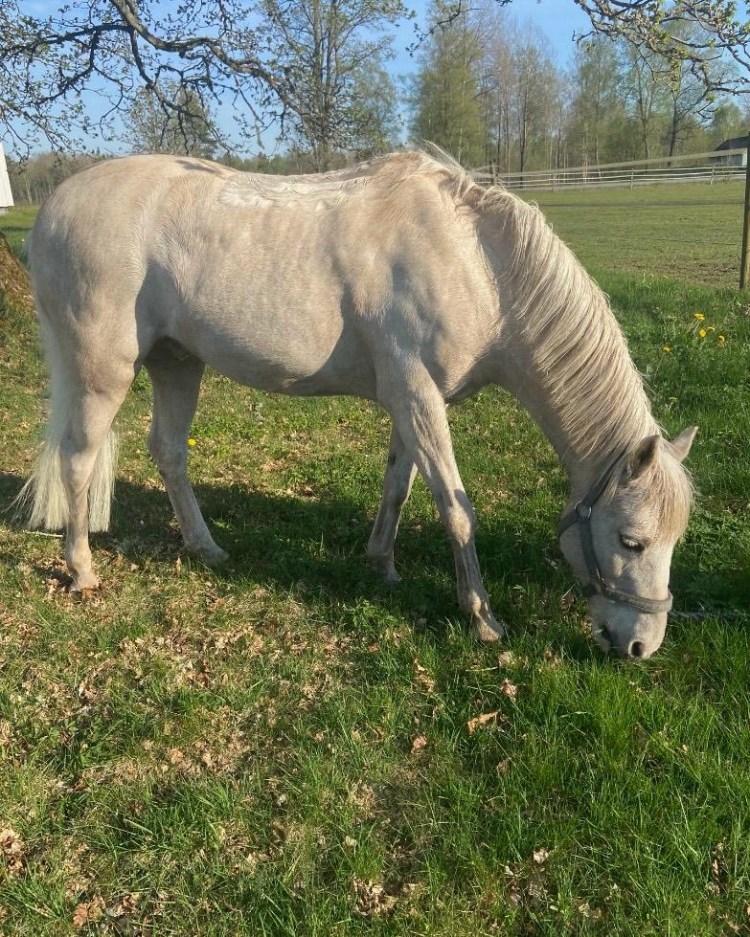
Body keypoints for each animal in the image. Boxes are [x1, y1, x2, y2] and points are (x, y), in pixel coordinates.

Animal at [18, 150, 697, 659]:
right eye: (632, 541)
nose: (641, 647)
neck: (478, 265)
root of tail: (53, 209)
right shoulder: (419, 397)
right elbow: (456, 508)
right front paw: (481, 616)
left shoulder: (410, 400)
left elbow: (399, 486)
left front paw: (382, 563)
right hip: (102, 374)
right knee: (78, 461)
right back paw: (81, 570)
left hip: (177, 363)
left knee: (169, 453)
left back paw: (205, 547)